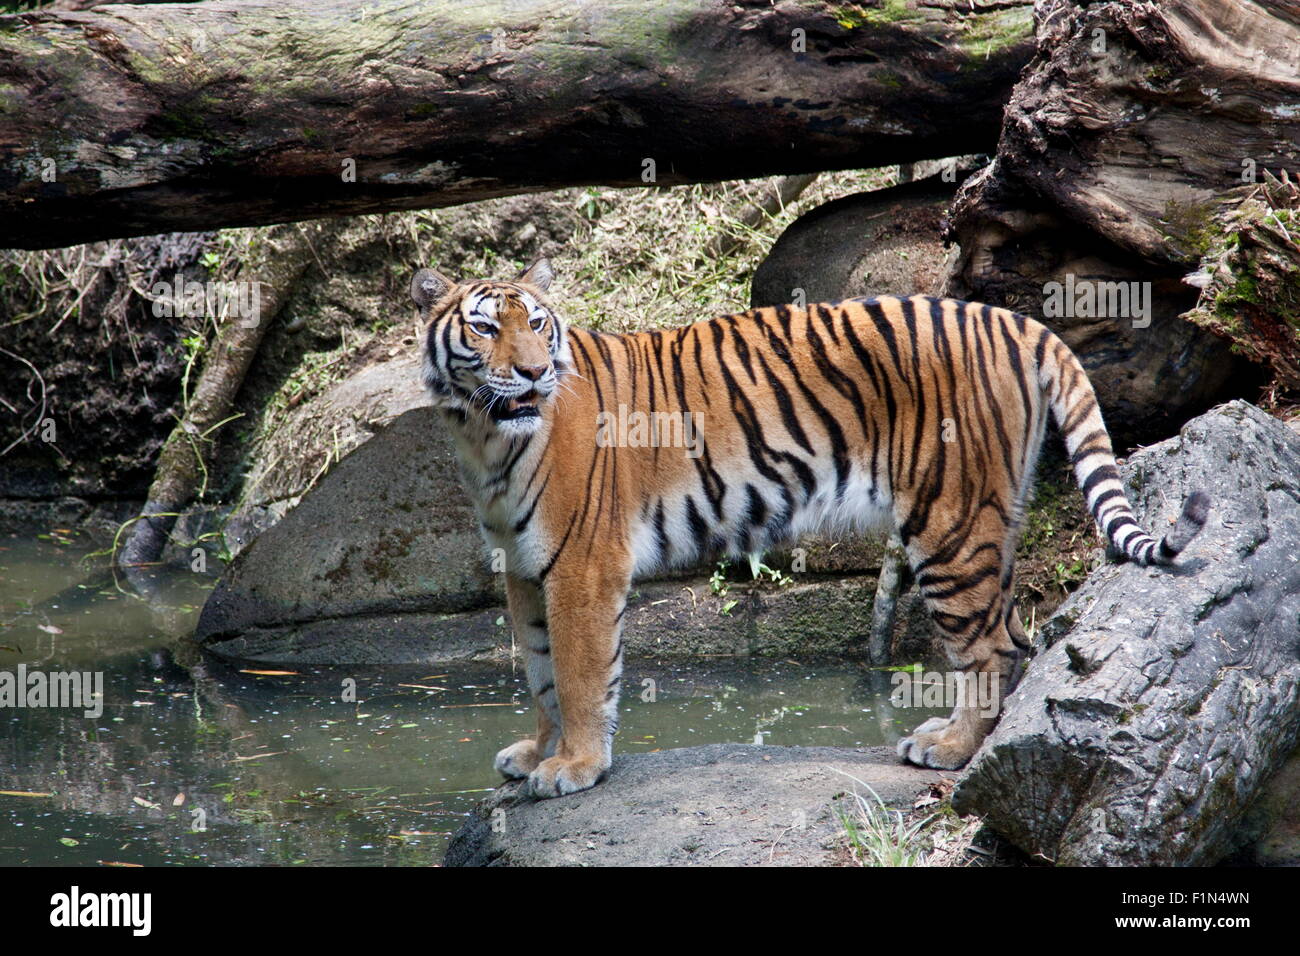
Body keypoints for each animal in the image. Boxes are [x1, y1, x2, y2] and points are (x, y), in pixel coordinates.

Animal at [411, 257, 1210, 798]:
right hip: (990, 519)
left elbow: (578, 675)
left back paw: (949, 750)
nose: (533, 373)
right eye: (485, 327)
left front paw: (573, 767)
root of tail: (1013, 319)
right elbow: (539, 668)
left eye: (538, 323)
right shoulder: (523, 566)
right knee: (1014, 632)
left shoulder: (581, 564)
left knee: (992, 648)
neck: (485, 437)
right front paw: (535, 754)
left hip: (947, 523)